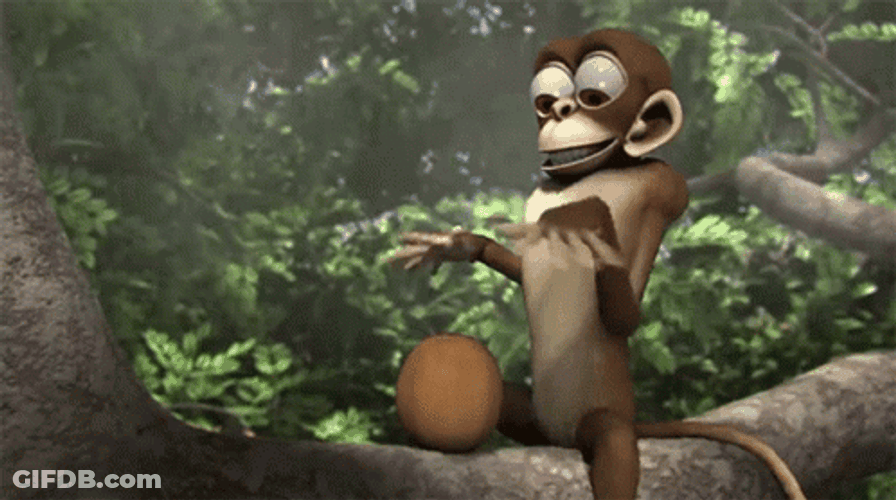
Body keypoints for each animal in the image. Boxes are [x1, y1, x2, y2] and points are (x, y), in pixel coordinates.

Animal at [390, 29, 805, 500]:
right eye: (545, 100)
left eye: (594, 96)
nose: (561, 111)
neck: (593, 173)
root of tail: (559, 436)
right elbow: (523, 269)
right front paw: (459, 245)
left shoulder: (666, 190)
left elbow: (627, 315)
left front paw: (589, 219)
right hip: (532, 415)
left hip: (604, 413)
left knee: (615, 442)